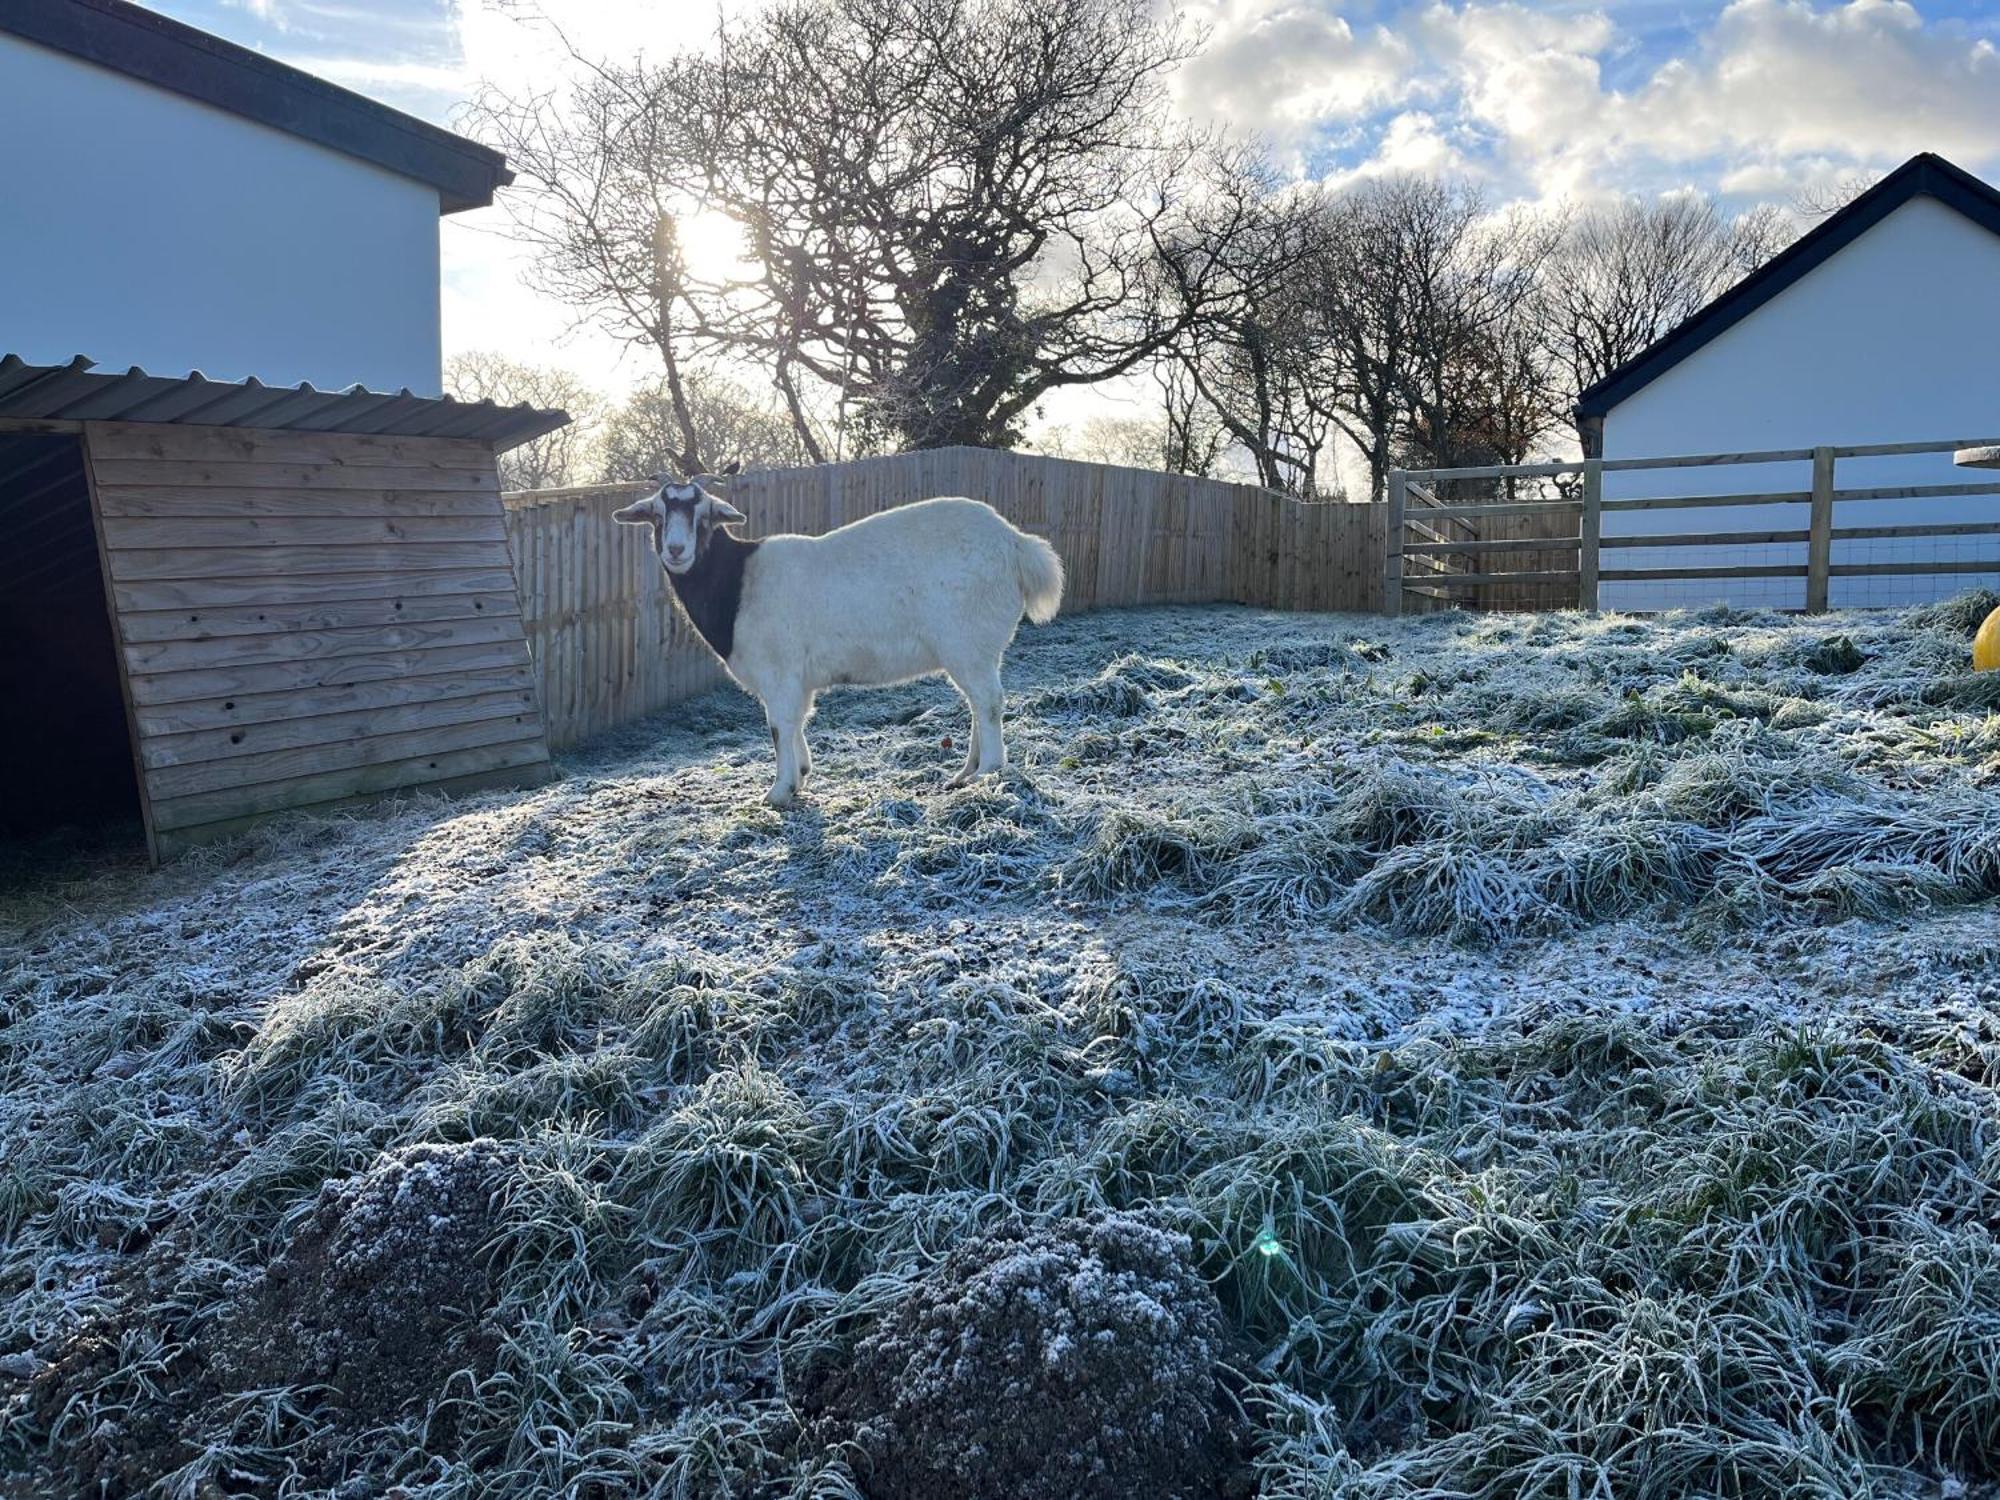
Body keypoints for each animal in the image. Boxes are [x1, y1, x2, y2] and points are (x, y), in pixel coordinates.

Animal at [612, 476, 1064, 812]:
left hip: (966, 640)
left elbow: (779, 726)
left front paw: (779, 791)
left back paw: (988, 771)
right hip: (979, 648)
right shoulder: (797, 679)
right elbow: (797, 722)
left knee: (988, 702)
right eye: (656, 515)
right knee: (979, 703)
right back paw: (965, 771)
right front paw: (801, 774)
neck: (738, 581)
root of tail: (1017, 545)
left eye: (704, 516)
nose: (676, 550)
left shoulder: (779, 672)